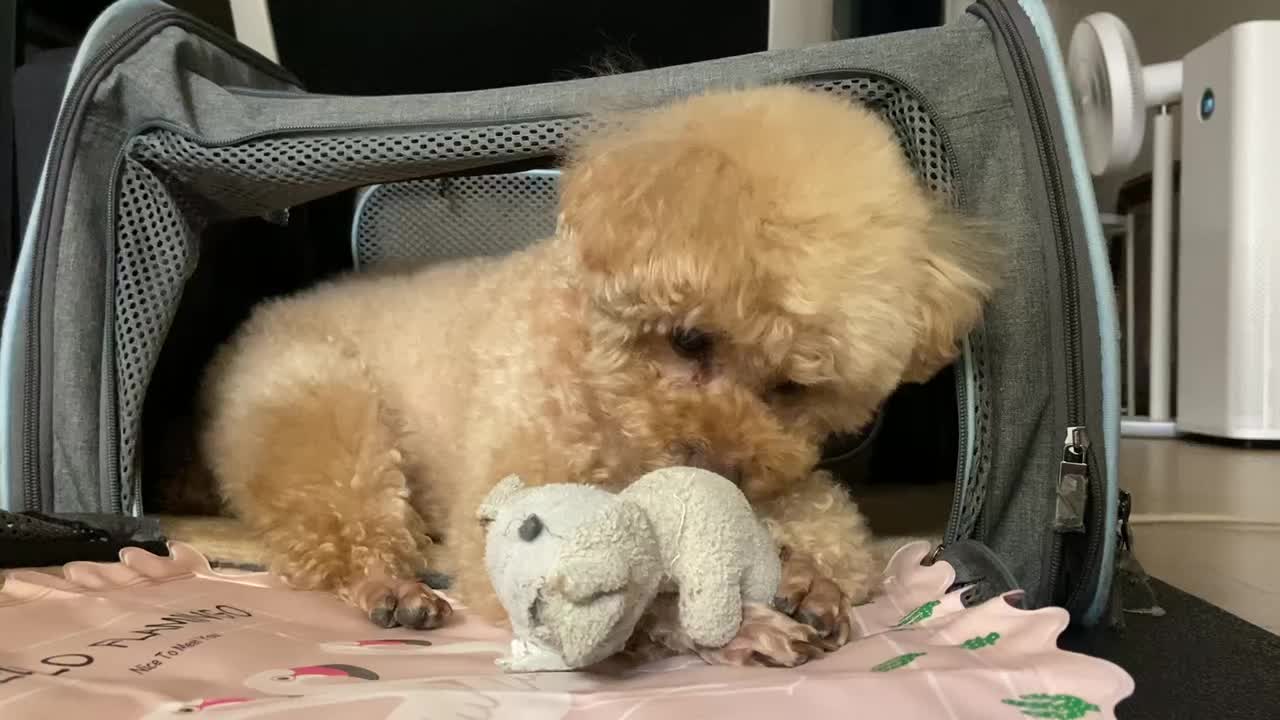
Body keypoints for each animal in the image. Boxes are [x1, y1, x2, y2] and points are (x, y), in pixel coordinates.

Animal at [199, 85, 998, 666]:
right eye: (688, 339)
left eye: (797, 388)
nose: (720, 470)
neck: (601, 385)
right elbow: (624, 603)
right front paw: (748, 627)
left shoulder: (788, 482)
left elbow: (835, 536)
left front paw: (807, 583)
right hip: (321, 408)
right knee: (333, 535)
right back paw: (391, 587)